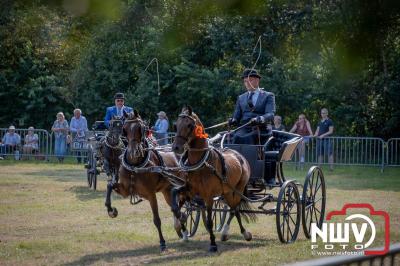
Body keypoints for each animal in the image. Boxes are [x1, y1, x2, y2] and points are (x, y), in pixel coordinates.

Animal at [105, 110, 188, 251]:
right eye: (125, 129)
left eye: (140, 128)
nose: (133, 151)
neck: (135, 165)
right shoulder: (125, 190)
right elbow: (110, 185)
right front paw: (111, 210)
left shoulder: (151, 194)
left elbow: (157, 219)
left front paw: (162, 242)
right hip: (167, 191)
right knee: (175, 207)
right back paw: (182, 228)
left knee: (182, 206)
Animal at [171, 106, 253, 251]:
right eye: (176, 125)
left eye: (189, 125)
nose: (176, 147)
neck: (201, 163)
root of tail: (240, 156)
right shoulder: (188, 191)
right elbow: (176, 204)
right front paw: (183, 228)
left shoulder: (208, 196)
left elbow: (209, 222)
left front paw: (213, 244)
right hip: (226, 192)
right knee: (234, 209)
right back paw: (229, 233)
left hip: (237, 190)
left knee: (235, 209)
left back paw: (242, 233)